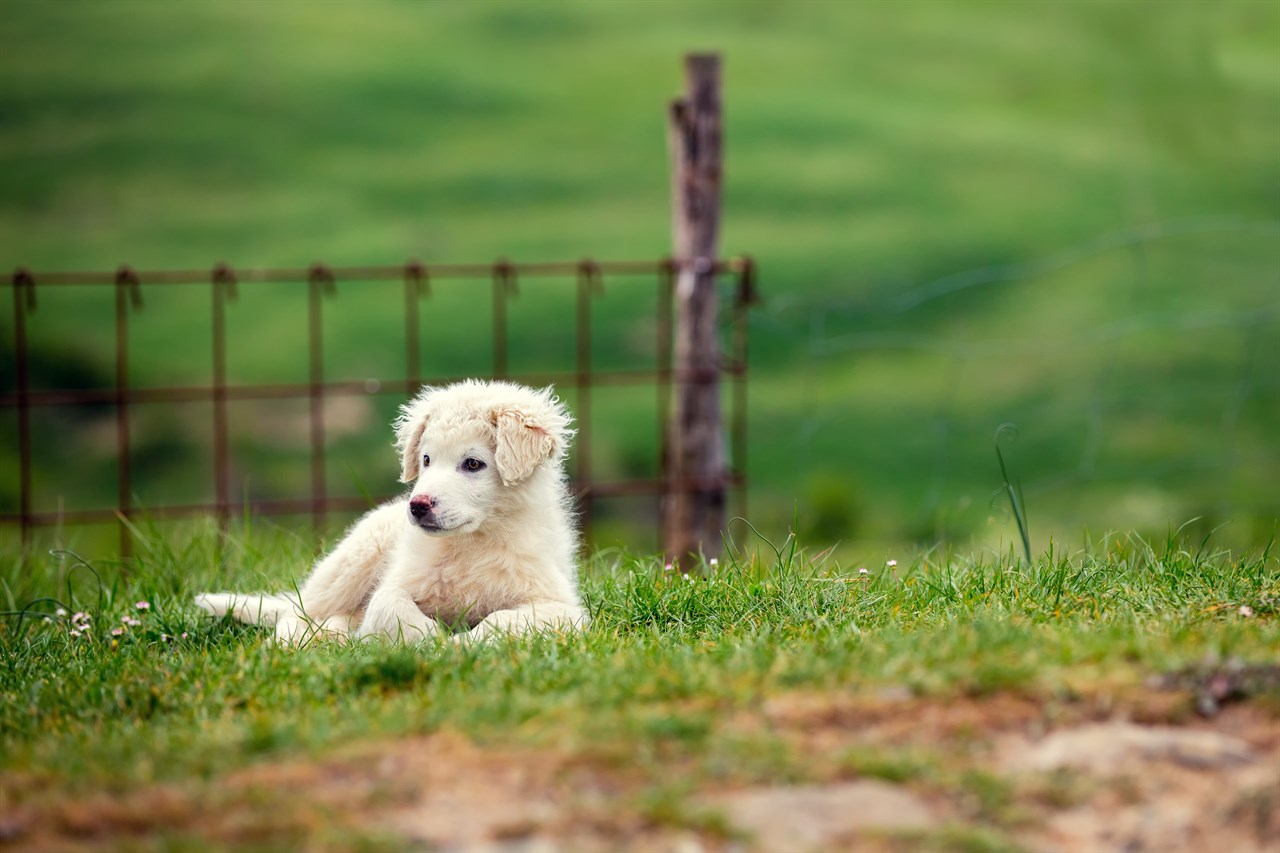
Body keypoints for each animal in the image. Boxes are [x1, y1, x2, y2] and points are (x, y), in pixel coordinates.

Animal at [194, 379, 586, 645]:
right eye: (426, 459)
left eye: (473, 464)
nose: (418, 506)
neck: (471, 543)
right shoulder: (399, 580)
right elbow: (387, 602)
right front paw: (429, 637)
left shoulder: (563, 607)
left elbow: (503, 620)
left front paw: (463, 643)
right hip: (351, 562)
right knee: (297, 613)